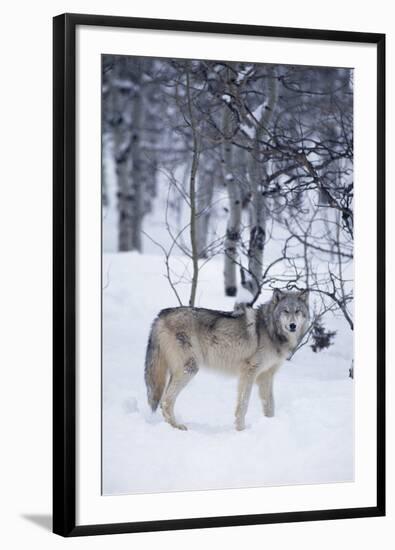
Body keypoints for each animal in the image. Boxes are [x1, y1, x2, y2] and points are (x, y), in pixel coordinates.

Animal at [145, 288, 310, 432]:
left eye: (297, 311)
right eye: (285, 311)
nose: (293, 325)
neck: (270, 330)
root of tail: (160, 315)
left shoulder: (266, 376)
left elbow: (270, 406)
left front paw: (270, 425)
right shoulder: (249, 372)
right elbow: (243, 404)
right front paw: (241, 430)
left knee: (164, 401)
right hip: (189, 369)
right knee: (166, 401)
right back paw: (177, 427)